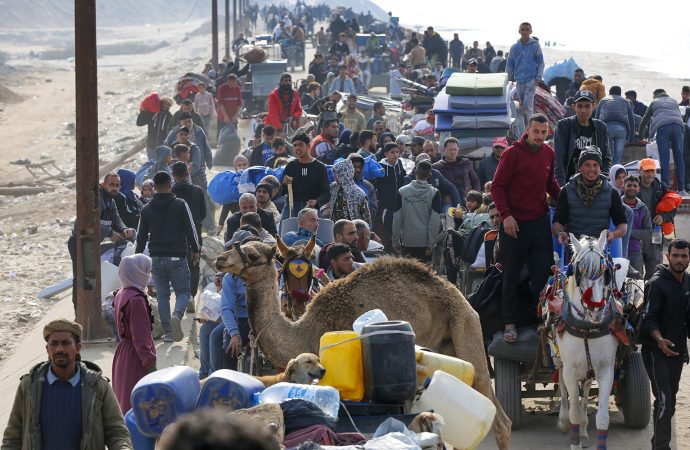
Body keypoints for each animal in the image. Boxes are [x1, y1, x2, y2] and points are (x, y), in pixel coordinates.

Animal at [215, 241, 510, 448]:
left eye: (252, 255)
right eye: (237, 243)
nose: (220, 259)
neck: (306, 331)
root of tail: (453, 290)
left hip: (465, 325)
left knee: (498, 415)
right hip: (447, 344)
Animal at [552, 230, 620, 450]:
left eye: (606, 272)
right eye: (580, 273)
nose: (596, 310)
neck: (587, 328)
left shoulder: (606, 369)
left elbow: (602, 418)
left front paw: (586, 430)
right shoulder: (571, 370)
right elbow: (572, 408)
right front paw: (573, 435)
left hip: (589, 367)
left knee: (587, 387)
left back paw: (582, 429)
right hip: (559, 360)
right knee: (563, 385)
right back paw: (563, 420)